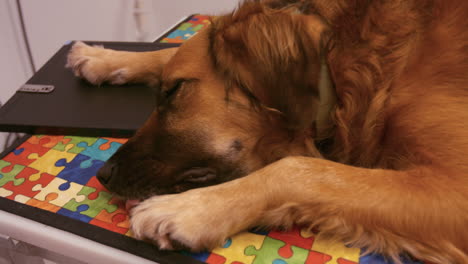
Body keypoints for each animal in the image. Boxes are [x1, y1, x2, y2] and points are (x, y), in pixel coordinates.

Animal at [66, 1, 468, 262]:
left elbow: (302, 169)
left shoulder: (456, 188)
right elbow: (173, 47)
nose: (103, 174)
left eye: (175, 90)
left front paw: (189, 210)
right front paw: (104, 58)